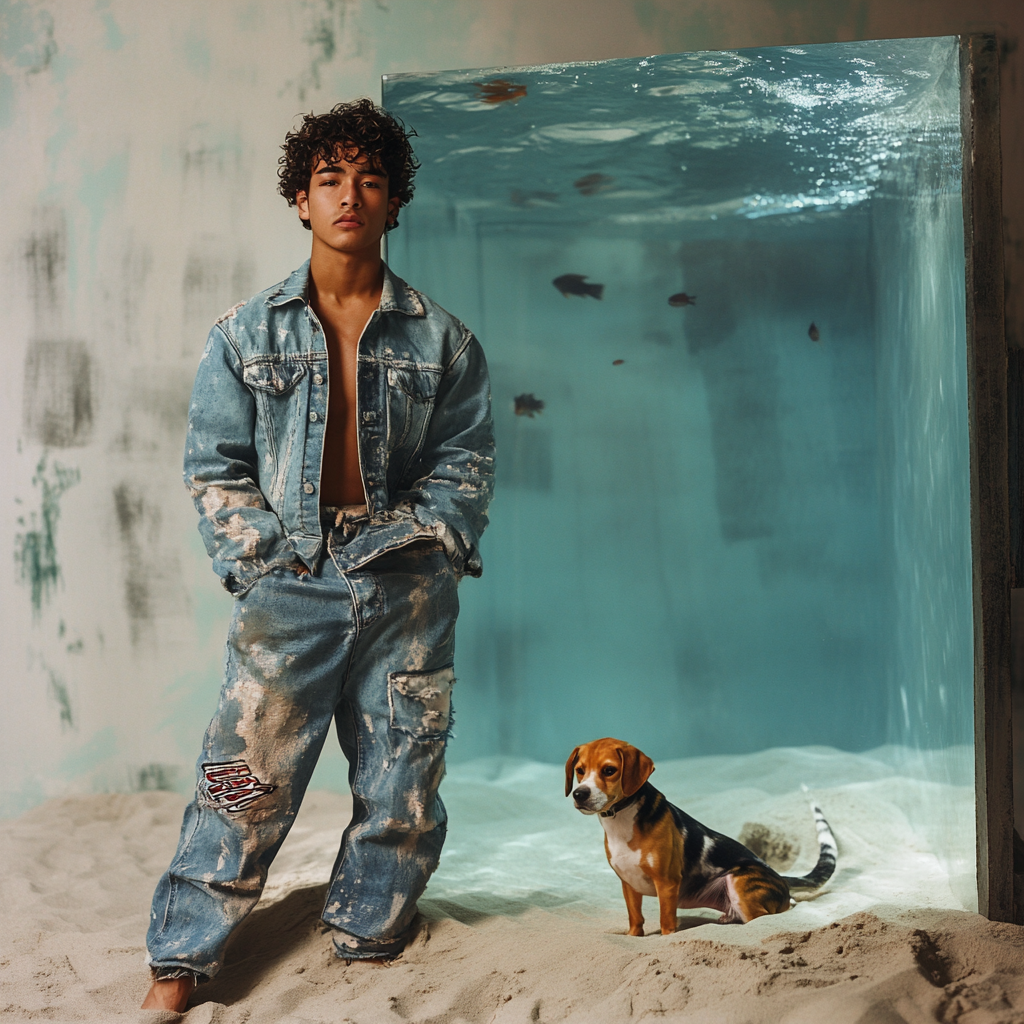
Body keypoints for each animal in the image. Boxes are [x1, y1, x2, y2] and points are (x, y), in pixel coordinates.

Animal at [565, 737, 835, 937]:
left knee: (764, 917)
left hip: (738, 882)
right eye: (580, 771)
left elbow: (666, 923)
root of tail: (779, 877)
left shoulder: (667, 883)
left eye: (609, 770)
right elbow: (636, 921)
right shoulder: (628, 884)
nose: (579, 794)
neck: (621, 820)